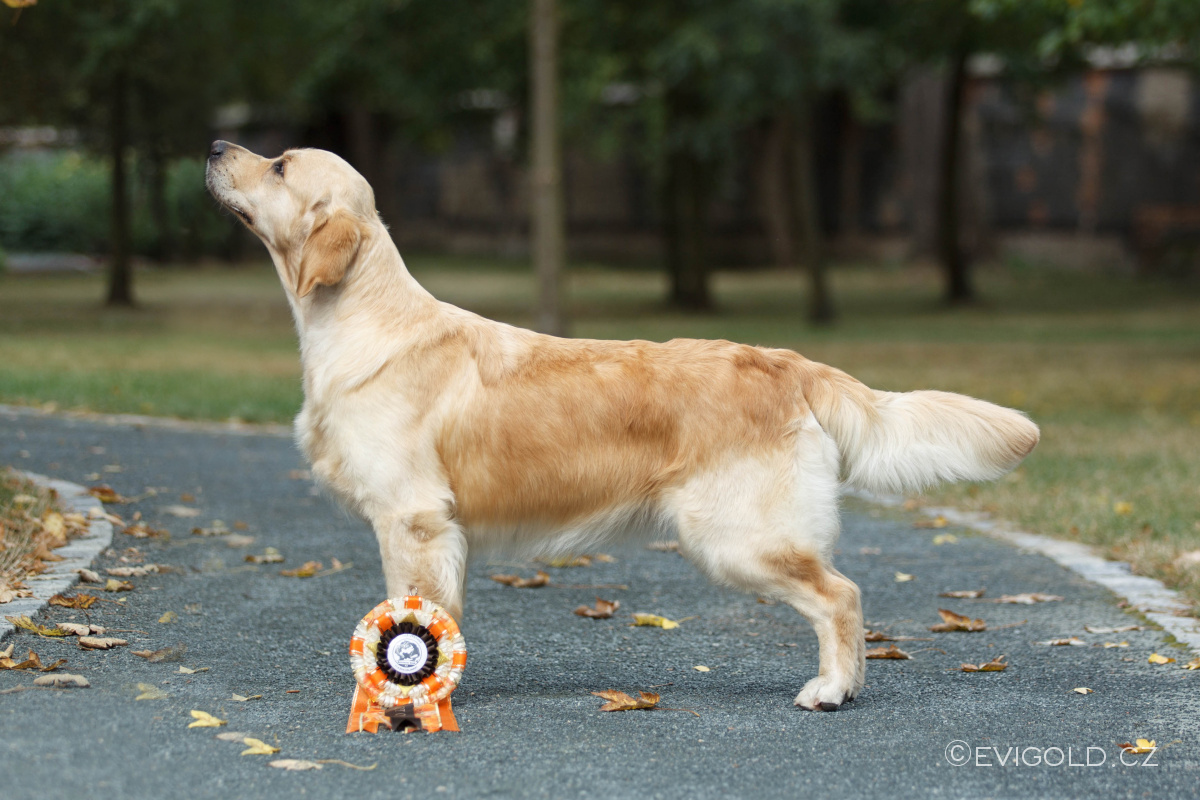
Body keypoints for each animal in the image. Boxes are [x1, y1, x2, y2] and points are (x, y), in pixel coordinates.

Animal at [205, 141, 1039, 711]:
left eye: (279, 166)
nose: (215, 145)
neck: (360, 318)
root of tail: (787, 360)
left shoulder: (411, 518)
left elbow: (418, 613)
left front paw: (406, 691)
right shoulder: (435, 527)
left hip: (737, 535)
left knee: (842, 595)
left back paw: (831, 689)